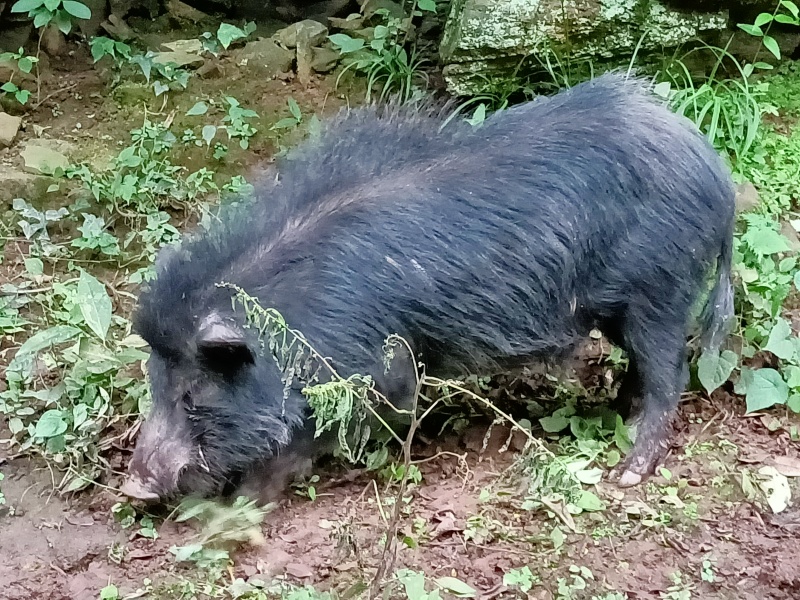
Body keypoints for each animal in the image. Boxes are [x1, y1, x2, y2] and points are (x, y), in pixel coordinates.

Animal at [120, 72, 736, 504]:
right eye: (155, 382)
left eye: (194, 394)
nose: (134, 485)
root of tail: (715, 171)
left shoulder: (368, 368)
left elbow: (313, 435)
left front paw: (247, 501)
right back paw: (618, 412)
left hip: (661, 288)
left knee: (671, 374)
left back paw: (629, 472)